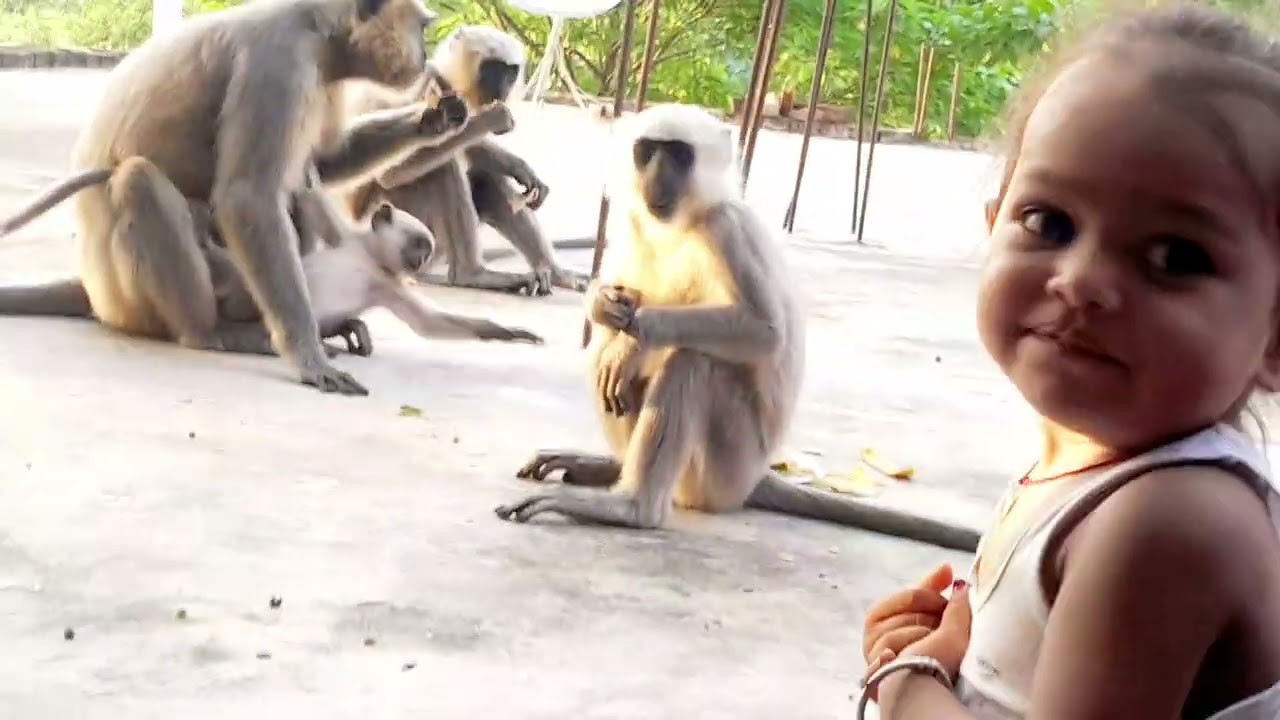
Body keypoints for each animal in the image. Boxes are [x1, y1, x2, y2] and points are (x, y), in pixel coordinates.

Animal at [0, 0, 482, 396]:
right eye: (421, 27)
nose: (424, 56)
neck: (317, 28)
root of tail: (93, 286)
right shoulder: (280, 62)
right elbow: (247, 197)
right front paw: (308, 357)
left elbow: (323, 163)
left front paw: (436, 120)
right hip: (128, 297)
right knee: (139, 179)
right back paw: (209, 333)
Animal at [339, 25, 592, 298]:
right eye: (493, 69)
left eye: (510, 72)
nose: (503, 87)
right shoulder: (427, 83)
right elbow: (390, 173)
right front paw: (494, 118)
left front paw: (518, 167)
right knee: (442, 166)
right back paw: (472, 274)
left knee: (485, 179)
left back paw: (556, 274)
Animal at [494, 103, 981, 553]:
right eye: (647, 151)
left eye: (678, 154)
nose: (657, 175)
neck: (684, 221)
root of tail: (754, 478)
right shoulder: (633, 221)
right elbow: (612, 306)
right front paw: (602, 304)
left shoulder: (730, 227)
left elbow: (764, 332)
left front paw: (639, 336)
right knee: (607, 354)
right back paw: (610, 468)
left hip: (723, 467)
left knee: (691, 358)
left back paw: (633, 507)